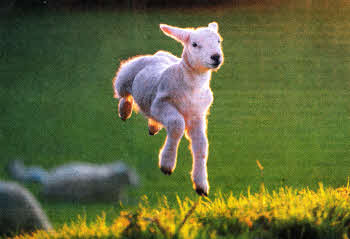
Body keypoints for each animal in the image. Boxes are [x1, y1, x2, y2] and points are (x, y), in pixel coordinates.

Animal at [113, 22, 223, 196]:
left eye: (218, 41)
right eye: (194, 44)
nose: (216, 57)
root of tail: (157, 55)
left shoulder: (198, 114)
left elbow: (201, 145)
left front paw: (201, 185)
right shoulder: (160, 103)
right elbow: (177, 124)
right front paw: (167, 163)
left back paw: (153, 127)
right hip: (125, 76)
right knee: (124, 95)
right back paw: (124, 111)